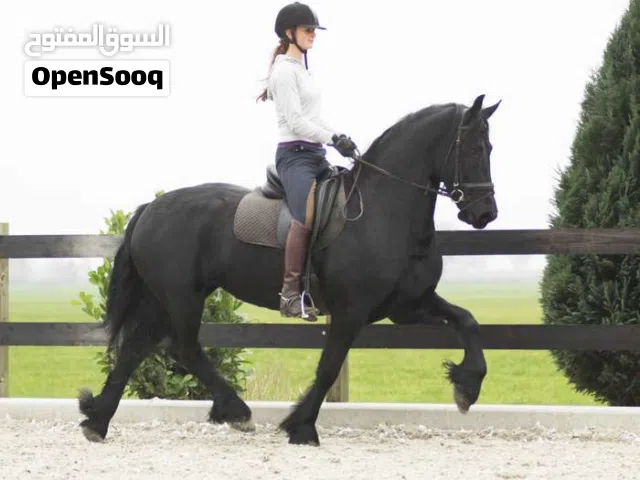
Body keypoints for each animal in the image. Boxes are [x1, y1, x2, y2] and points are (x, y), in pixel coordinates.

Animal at [77, 93, 501, 446]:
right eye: (476, 148)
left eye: (489, 147)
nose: (485, 214)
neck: (383, 211)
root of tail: (151, 207)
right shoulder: (351, 313)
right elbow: (328, 368)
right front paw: (302, 427)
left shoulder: (408, 305)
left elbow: (468, 321)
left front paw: (467, 387)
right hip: (182, 297)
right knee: (183, 348)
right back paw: (236, 412)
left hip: (161, 298)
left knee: (135, 348)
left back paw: (97, 421)